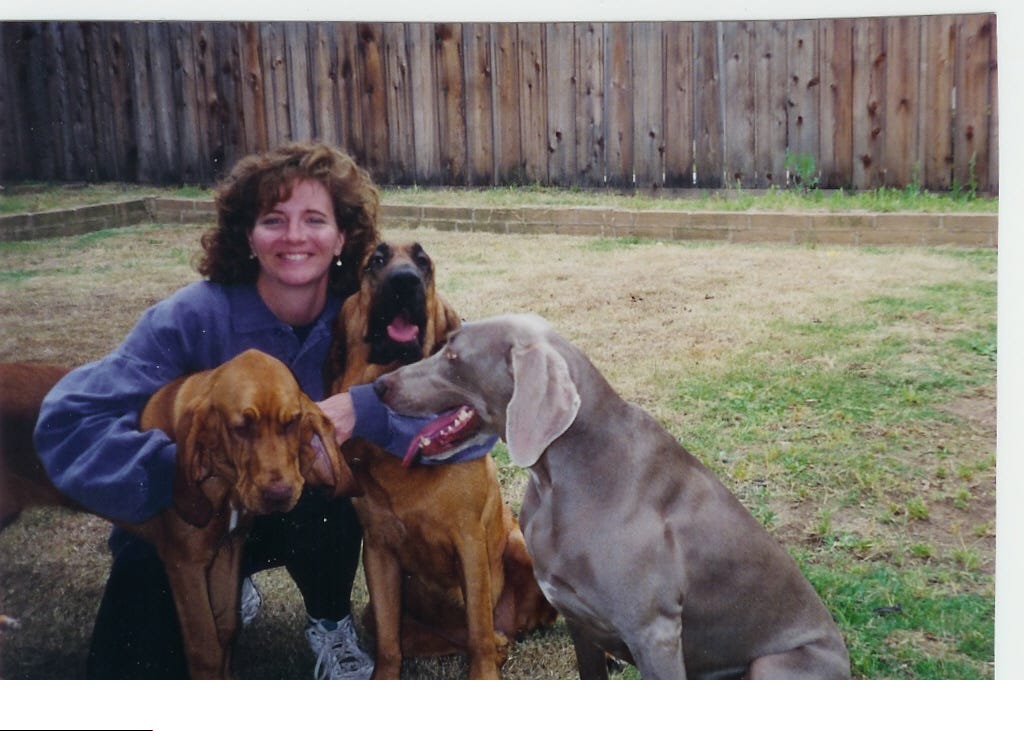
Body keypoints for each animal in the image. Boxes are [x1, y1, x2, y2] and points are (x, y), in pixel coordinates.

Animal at [327, 240, 557, 675]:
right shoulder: (378, 551)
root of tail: (514, 624)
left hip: (523, 546)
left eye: (423, 262)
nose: (405, 282)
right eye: (376, 261)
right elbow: (389, 645)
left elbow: (478, 633)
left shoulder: (469, 543)